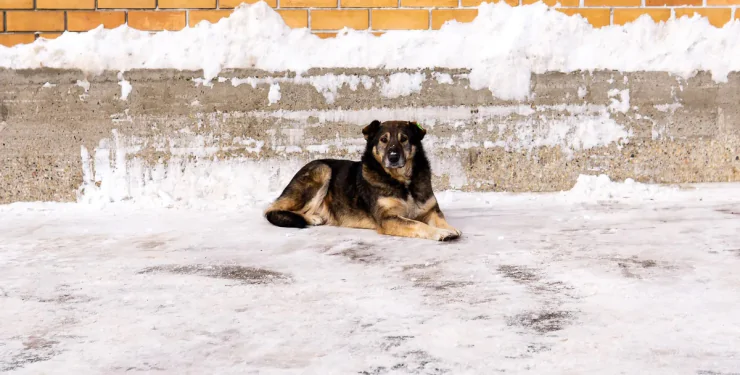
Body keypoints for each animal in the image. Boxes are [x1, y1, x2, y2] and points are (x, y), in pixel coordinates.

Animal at [264, 121, 462, 244]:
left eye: (404, 139)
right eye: (383, 140)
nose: (393, 157)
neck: (401, 181)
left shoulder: (431, 210)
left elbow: (440, 220)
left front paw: (450, 229)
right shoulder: (387, 219)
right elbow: (418, 224)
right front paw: (440, 233)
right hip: (322, 169)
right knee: (271, 210)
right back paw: (311, 218)